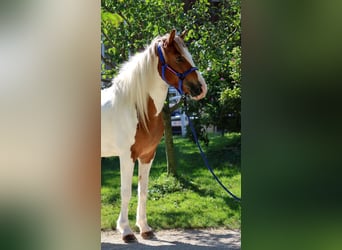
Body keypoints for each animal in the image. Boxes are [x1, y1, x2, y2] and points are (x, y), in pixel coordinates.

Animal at [99, 29, 206, 242]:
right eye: (179, 57)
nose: (201, 88)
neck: (137, 108)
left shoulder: (148, 155)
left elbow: (142, 191)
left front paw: (144, 228)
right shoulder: (126, 156)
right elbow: (125, 191)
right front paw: (126, 231)